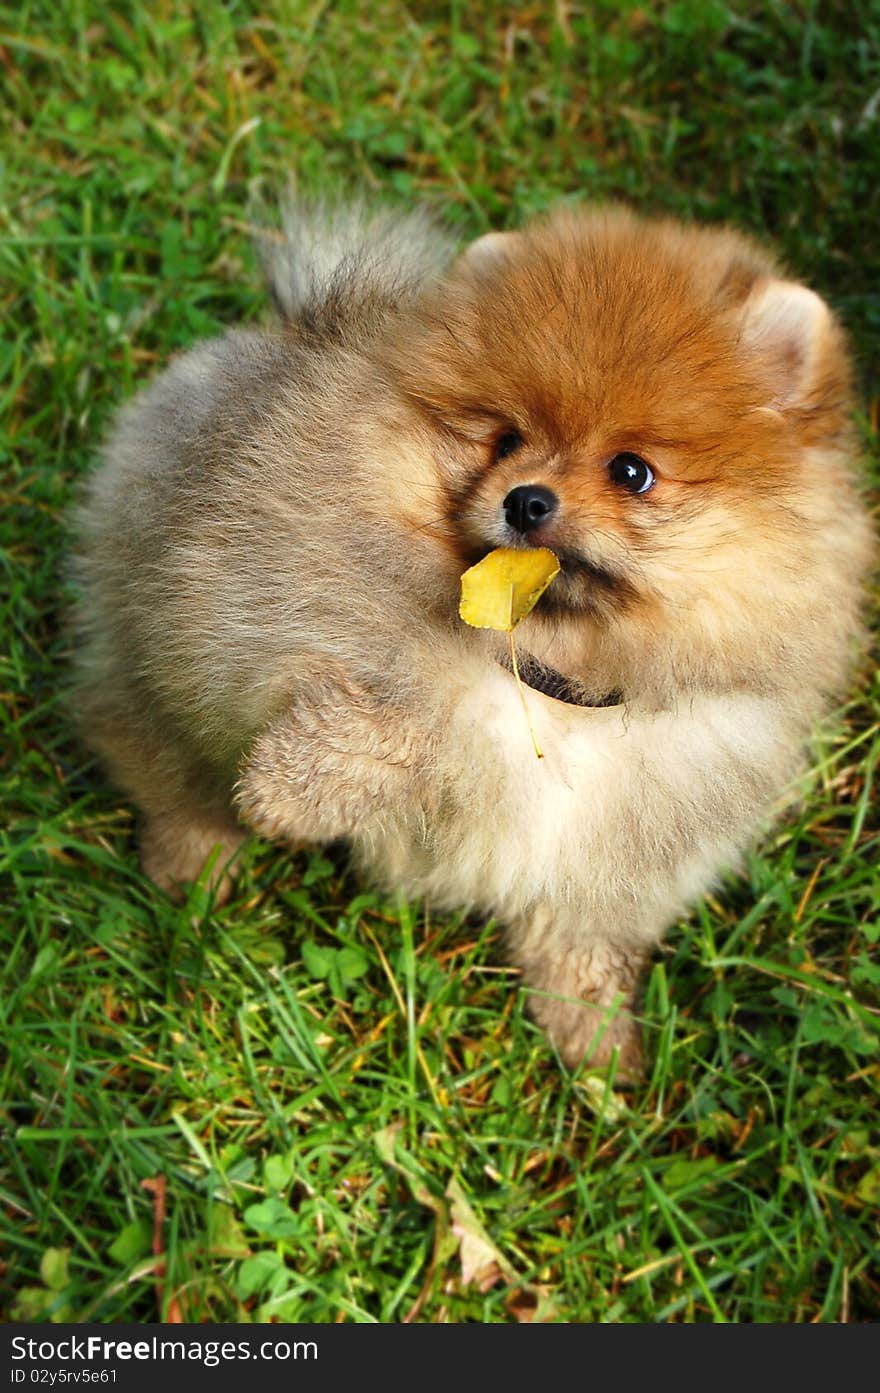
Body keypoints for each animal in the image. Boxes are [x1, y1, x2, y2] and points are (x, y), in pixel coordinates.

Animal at [72, 199, 874, 1075]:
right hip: (148, 639)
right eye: (506, 441)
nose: (526, 498)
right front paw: (289, 798)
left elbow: (582, 942)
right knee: (160, 759)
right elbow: (394, 718)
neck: (547, 676)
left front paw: (595, 1044)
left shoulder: (623, 854)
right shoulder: (278, 622)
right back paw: (192, 865)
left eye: (632, 472)